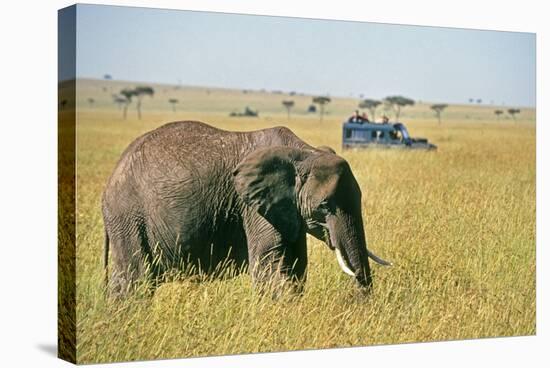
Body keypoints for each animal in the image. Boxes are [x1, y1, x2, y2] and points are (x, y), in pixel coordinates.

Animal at [103, 121, 392, 300]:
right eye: (324, 206)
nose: (360, 299)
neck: (304, 152)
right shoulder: (253, 206)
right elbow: (270, 263)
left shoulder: (286, 207)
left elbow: (296, 264)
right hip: (128, 216)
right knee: (136, 279)